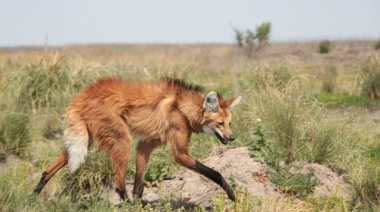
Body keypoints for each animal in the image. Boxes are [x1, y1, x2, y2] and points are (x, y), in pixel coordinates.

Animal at [32, 77, 240, 202]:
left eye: (229, 123)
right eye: (220, 123)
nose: (232, 137)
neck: (184, 108)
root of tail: (83, 95)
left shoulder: (146, 144)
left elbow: (139, 184)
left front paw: (139, 203)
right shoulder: (179, 153)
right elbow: (215, 173)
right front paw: (232, 194)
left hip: (86, 139)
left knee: (48, 170)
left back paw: (34, 194)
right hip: (121, 140)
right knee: (118, 185)